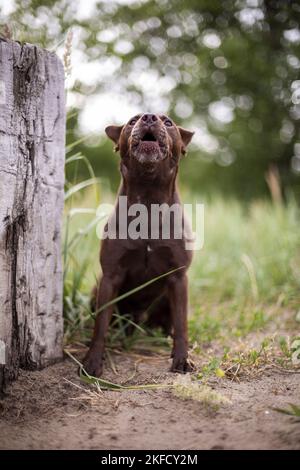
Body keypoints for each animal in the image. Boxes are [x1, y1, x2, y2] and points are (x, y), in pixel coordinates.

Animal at [82, 112, 195, 376]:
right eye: (132, 121)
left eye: (168, 122)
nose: (149, 117)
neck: (149, 199)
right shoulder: (110, 276)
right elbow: (100, 326)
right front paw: (93, 361)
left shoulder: (178, 277)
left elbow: (181, 324)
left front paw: (181, 359)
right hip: (96, 290)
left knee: (171, 324)